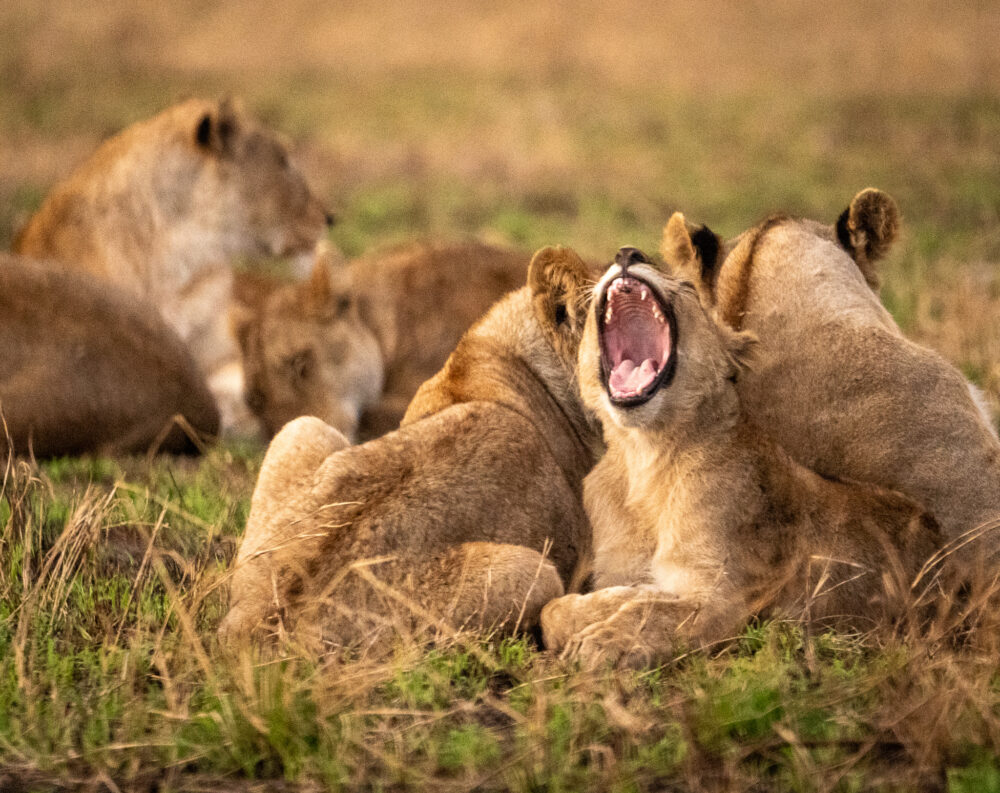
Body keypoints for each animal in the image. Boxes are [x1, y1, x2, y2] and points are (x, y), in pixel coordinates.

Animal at [540, 246, 936, 668]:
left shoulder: (727, 600)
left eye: (687, 287)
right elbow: (559, 609)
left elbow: (650, 612)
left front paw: (605, 642)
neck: (644, 459)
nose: (628, 253)